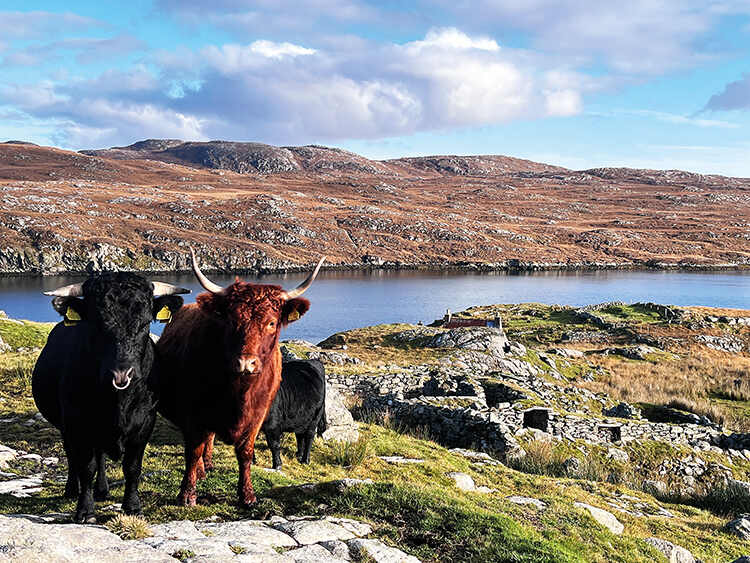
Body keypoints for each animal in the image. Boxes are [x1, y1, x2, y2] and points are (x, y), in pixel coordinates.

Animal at [32, 274, 189, 524]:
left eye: (145, 323)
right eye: (96, 324)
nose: (122, 374)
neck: (118, 403)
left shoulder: (145, 422)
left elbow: (132, 467)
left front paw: (133, 507)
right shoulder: (77, 422)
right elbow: (86, 467)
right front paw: (85, 511)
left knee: (101, 455)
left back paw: (103, 490)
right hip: (66, 426)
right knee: (73, 455)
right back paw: (72, 489)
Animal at [157, 250, 324, 506]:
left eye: (271, 322)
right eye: (231, 320)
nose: (246, 363)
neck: (239, 391)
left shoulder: (258, 415)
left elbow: (246, 452)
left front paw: (247, 495)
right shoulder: (193, 413)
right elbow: (192, 451)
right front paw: (187, 494)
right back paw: (202, 470)